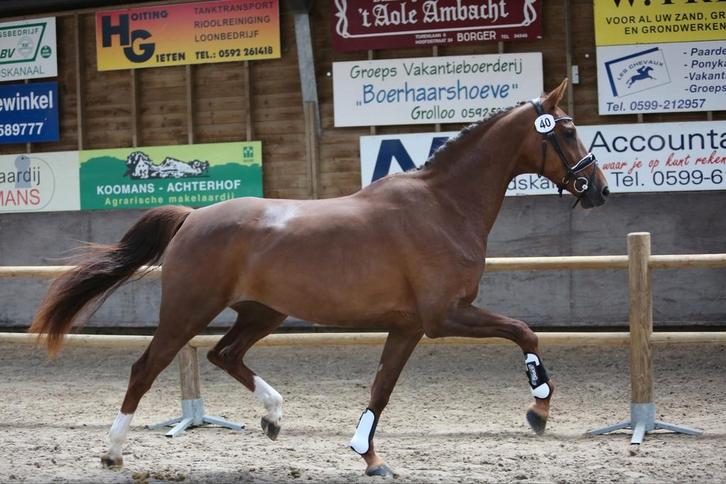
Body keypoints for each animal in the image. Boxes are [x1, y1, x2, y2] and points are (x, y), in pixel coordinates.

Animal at [30, 79, 609, 477]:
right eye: (569, 130)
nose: (600, 190)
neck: (443, 206)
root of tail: (193, 216)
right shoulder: (445, 316)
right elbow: (524, 331)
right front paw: (538, 409)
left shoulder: (409, 326)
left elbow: (381, 389)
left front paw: (369, 457)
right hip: (186, 311)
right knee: (145, 368)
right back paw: (112, 452)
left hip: (264, 312)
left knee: (224, 354)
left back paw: (273, 416)